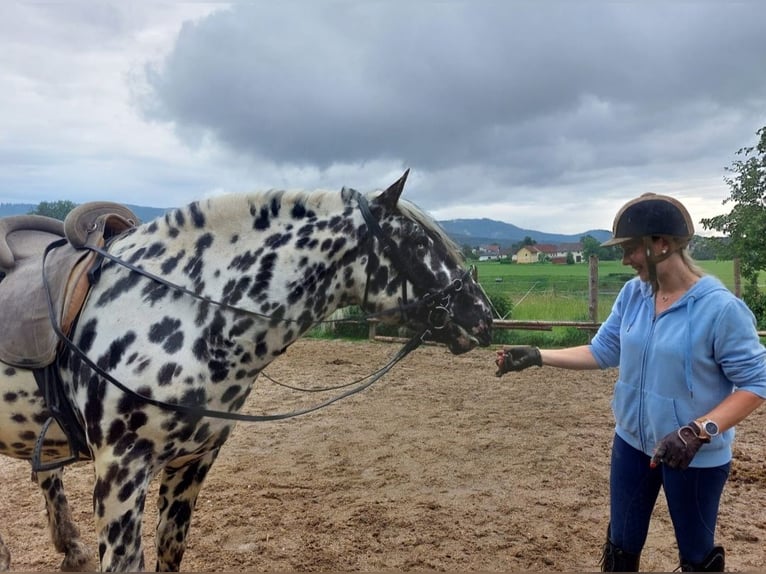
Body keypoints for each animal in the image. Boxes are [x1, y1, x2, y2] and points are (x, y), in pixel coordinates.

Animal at [0, 173, 492, 572]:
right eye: (420, 243)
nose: (483, 315)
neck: (178, 311)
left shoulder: (191, 465)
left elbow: (170, 552)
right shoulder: (120, 473)